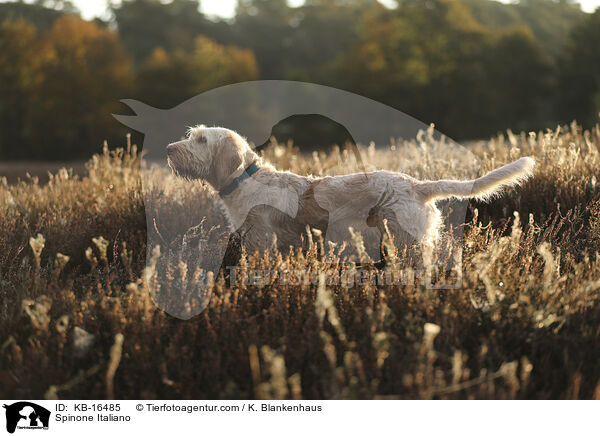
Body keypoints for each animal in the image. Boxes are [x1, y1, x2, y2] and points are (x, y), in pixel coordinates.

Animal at [168, 125, 536, 258]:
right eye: (192, 135)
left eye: (201, 140)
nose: (170, 148)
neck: (245, 180)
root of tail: (416, 185)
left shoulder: (263, 241)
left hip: (406, 242)